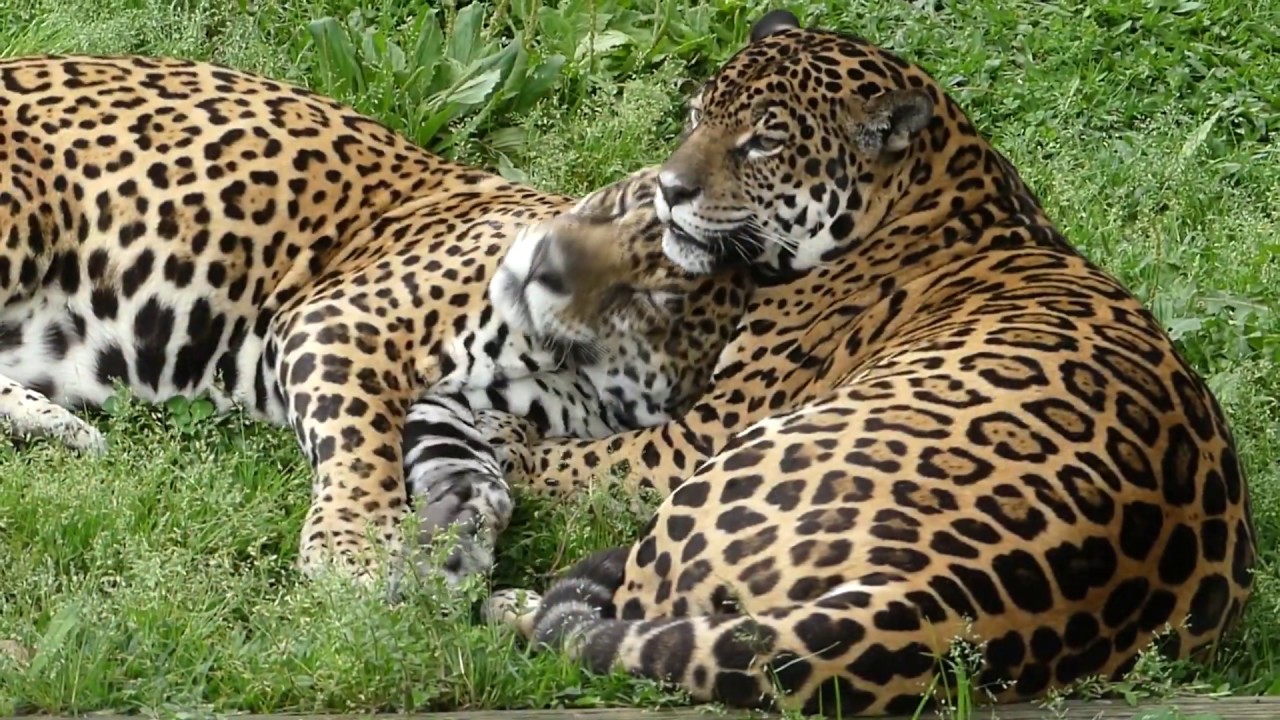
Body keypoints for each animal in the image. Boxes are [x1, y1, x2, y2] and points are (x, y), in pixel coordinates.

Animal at [0, 54, 748, 587]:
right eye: (616, 209)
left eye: (649, 295)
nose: (545, 265)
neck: (574, 367)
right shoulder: (342, 318)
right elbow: (359, 437)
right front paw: (353, 543)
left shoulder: (464, 406)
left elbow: (468, 465)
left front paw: (459, 527)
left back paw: (59, 425)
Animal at [478, 10, 1256, 717]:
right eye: (697, 115)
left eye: (765, 140)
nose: (670, 189)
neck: (935, 187)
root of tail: (923, 601)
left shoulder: (694, 436)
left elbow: (586, 456)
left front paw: (508, 442)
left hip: (726, 475)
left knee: (614, 620)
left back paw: (505, 602)